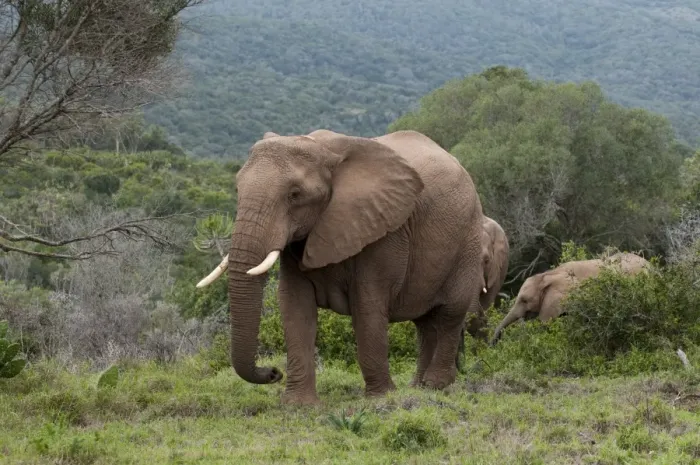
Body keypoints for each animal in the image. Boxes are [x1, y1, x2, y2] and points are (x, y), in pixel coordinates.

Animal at [195, 129, 485, 405]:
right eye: (236, 190)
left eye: (294, 195)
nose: (274, 372)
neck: (325, 150)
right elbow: (294, 305)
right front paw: (299, 406)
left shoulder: (383, 229)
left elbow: (368, 305)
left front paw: (380, 399)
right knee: (424, 323)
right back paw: (419, 387)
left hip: (469, 239)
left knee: (450, 313)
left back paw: (437, 384)